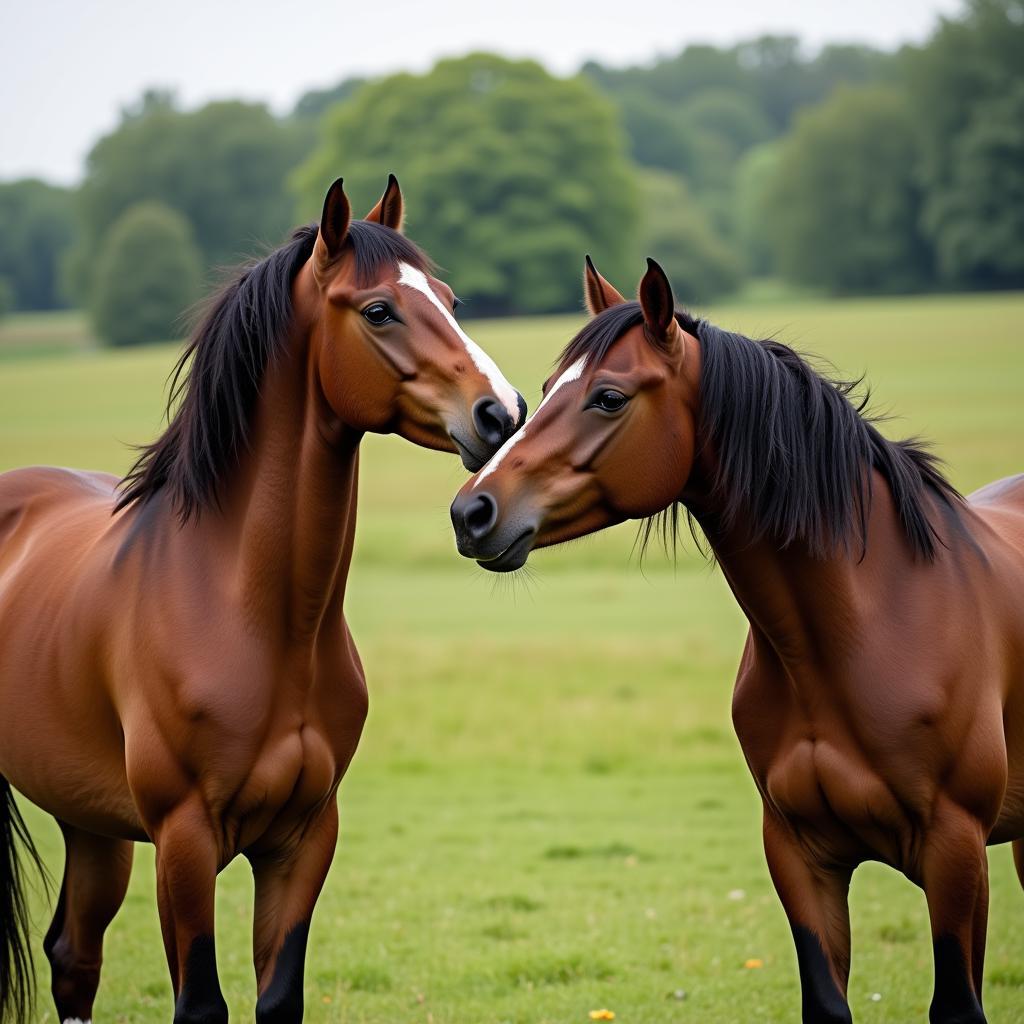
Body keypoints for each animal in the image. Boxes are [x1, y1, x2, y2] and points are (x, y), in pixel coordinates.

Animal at [0, 178, 524, 1024]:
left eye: (447, 299)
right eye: (379, 310)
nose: (502, 413)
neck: (257, 617)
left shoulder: (302, 838)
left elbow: (277, 998)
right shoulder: (183, 840)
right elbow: (200, 1004)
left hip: (88, 820)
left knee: (73, 956)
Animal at [450, 258, 1024, 1024]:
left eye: (608, 397)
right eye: (546, 393)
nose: (471, 511)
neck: (867, 631)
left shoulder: (957, 853)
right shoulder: (799, 855)